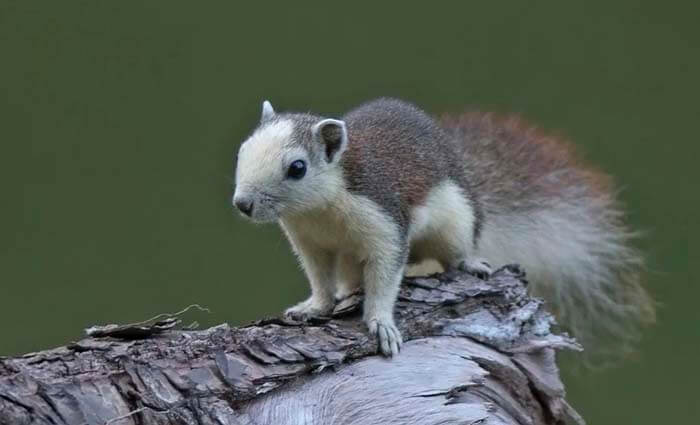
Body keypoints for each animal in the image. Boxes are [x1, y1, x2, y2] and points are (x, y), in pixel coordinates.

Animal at [233, 98, 655, 358]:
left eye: (297, 168)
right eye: (243, 149)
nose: (242, 204)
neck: (319, 211)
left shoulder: (385, 224)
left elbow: (385, 278)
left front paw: (382, 325)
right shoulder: (309, 242)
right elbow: (320, 280)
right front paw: (313, 307)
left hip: (456, 223)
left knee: (454, 253)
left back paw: (469, 263)